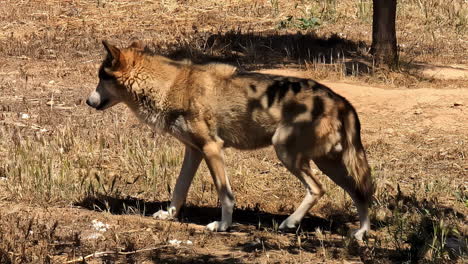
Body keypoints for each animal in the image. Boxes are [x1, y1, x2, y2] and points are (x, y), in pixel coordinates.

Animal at [87, 40, 372, 240]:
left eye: (101, 78)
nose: (88, 101)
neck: (170, 86)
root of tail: (341, 101)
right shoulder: (194, 151)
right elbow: (179, 189)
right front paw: (169, 215)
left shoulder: (212, 149)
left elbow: (225, 195)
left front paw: (223, 225)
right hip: (328, 164)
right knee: (361, 194)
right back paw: (360, 233)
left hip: (287, 154)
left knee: (318, 189)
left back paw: (290, 222)